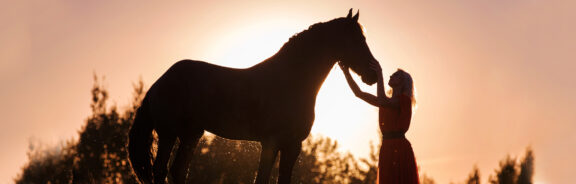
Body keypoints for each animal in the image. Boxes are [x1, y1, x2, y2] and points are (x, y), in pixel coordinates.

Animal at [127, 9, 378, 184]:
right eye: (358, 40)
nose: (373, 74)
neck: (291, 80)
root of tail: (160, 82)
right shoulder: (271, 142)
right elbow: (262, 178)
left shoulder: (292, 145)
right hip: (168, 133)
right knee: (160, 170)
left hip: (191, 134)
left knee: (178, 170)